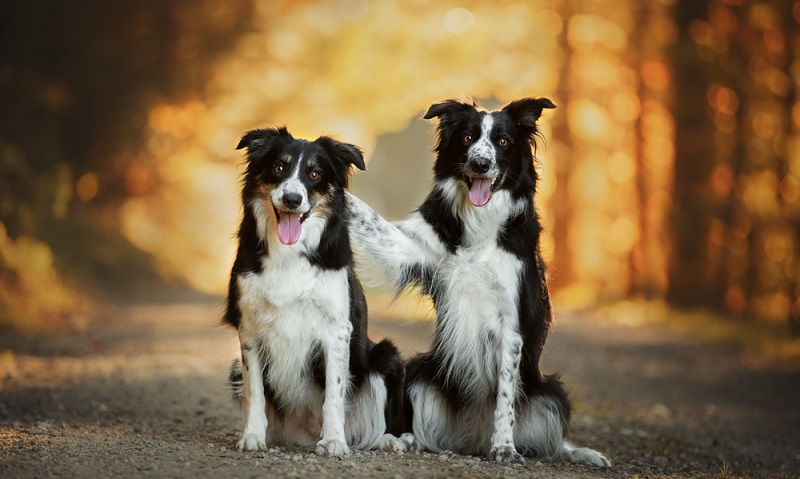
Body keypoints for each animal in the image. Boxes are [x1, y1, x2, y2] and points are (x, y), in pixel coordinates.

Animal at [227, 127, 406, 458]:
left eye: (314, 174)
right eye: (278, 167)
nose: (292, 199)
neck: (290, 251)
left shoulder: (336, 329)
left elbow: (334, 393)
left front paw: (334, 441)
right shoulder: (249, 328)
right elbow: (255, 392)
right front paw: (252, 436)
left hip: (386, 356)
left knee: (377, 425)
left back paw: (389, 440)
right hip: (234, 368)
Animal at [346, 99, 608, 466]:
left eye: (503, 141)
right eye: (468, 137)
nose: (480, 164)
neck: (480, 222)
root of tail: (472, 439)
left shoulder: (511, 325)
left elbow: (505, 399)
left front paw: (504, 447)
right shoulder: (411, 249)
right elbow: (373, 221)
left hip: (550, 393)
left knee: (553, 442)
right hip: (421, 371)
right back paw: (407, 440)